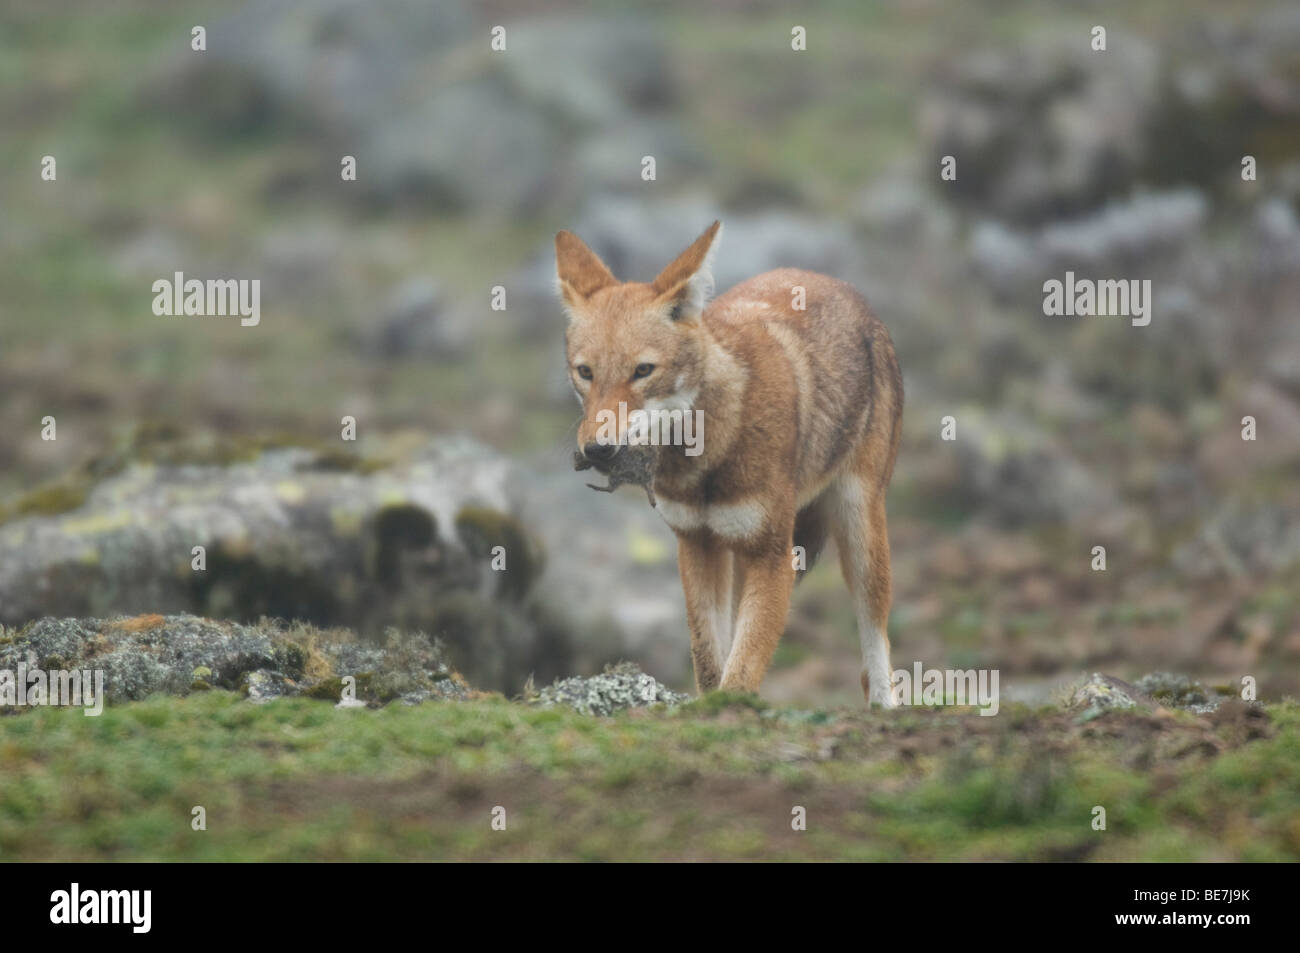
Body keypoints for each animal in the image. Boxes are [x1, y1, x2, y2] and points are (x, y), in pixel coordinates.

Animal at [557, 221, 903, 705]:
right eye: (585, 373)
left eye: (643, 371)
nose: (598, 450)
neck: (708, 456)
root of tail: (841, 286)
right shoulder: (696, 546)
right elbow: (710, 662)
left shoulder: (772, 556)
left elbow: (741, 671)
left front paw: (729, 708)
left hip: (860, 537)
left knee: (877, 653)